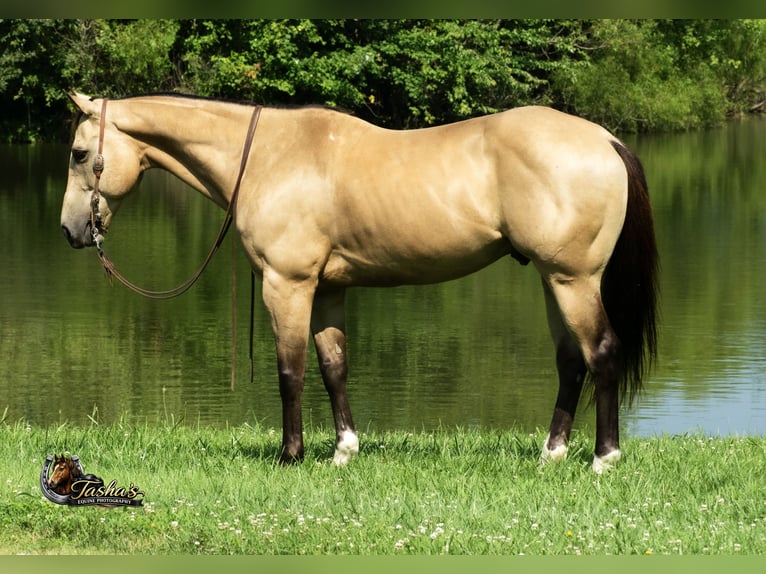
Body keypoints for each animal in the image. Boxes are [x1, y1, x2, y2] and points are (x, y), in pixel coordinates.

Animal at [60, 92, 658, 473]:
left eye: (79, 153)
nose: (70, 230)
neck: (271, 156)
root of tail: (605, 140)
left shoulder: (288, 285)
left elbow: (291, 371)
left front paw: (291, 455)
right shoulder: (327, 289)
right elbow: (334, 368)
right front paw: (343, 450)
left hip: (573, 280)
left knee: (602, 352)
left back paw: (604, 459)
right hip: (553, 281)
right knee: (571, 362)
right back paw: (551, 454)